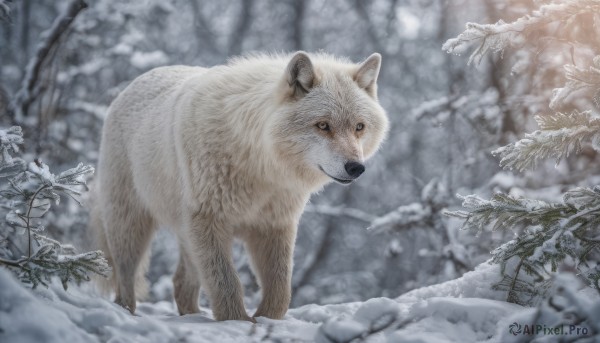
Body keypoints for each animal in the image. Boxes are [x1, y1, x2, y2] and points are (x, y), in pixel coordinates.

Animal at [91, 51, 386, 322]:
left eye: (359, 127)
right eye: (323, 125)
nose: (356, 167)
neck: (260, 168)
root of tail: (134, 83)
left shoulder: (275, 226)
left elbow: (280, 289)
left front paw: (266, 320)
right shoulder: (209, 220)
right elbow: (226, 283)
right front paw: (238, 322)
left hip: (186, 234)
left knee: (180, 283)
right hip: (131, 226)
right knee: (125, 278)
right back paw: (126, 313)